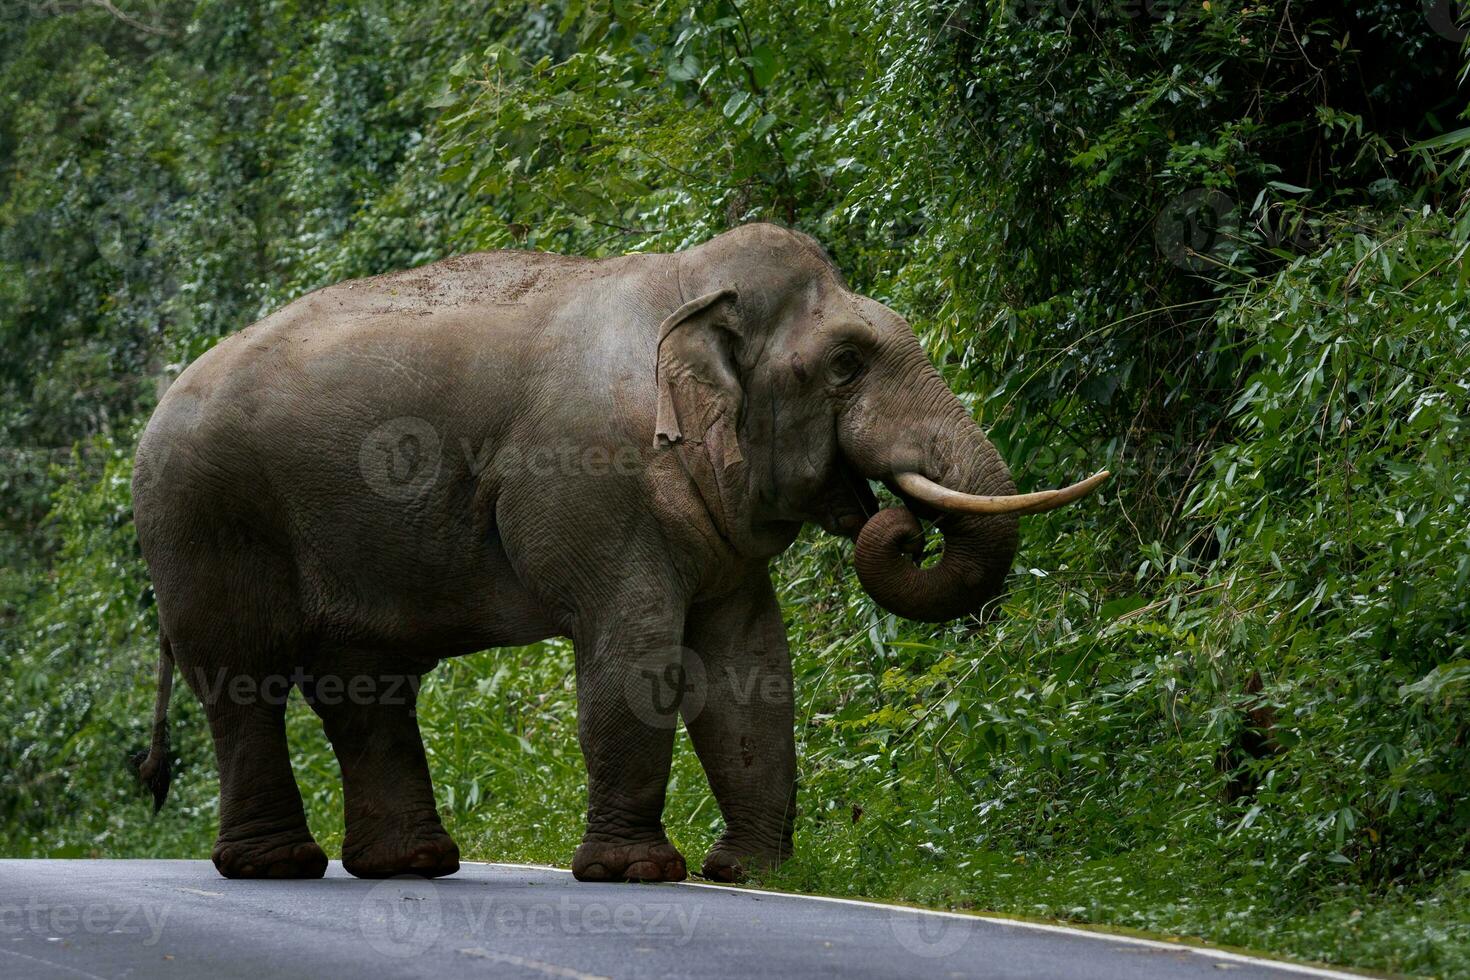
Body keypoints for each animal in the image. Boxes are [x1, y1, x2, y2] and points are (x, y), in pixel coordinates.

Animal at [132, 221, 1105, 881]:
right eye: (845, 366)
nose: (901, 523)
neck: (686, 285)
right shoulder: (592, 480)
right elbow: (636, 651)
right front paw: (639, 874)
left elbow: (750, 665)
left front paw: (751, 874)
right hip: (202, 522)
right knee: (242, 681)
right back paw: (278, 866)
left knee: (362, 687)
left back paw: (411, 865)